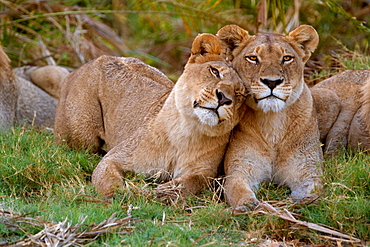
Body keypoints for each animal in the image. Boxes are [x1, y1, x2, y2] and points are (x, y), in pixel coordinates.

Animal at [53, 33, 247, 201]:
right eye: (214, 71)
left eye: (240, 94)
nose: (224, 99)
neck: (188, 130)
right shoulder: (115, 157)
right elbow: (107, 177)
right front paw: (116, 196)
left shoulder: (206, 173)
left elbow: (194, 181)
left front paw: (166, 191)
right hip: (83, 137)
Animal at [217, 24, 324, 210]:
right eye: (253, 58)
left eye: (287, 58)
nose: (272, 82)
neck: (272, 123)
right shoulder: (240, 168)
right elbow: (238, 189)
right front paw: (249, 206)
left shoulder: (308, 170)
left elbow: (312, 191)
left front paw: (297, 203)